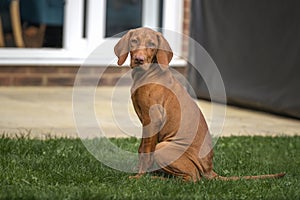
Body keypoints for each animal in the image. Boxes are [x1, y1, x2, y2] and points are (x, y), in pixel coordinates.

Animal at [113, 27, 284, 182]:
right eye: (134, 41)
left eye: (152, 44)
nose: (139, 59)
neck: (146, 74)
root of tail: (209, 170)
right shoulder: (147, 122)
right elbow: (141, 148)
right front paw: (138, 171)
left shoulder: (153, 120)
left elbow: (145, 150)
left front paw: (139, 176)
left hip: (163, 148)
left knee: (192, 178)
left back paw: (157, 179)